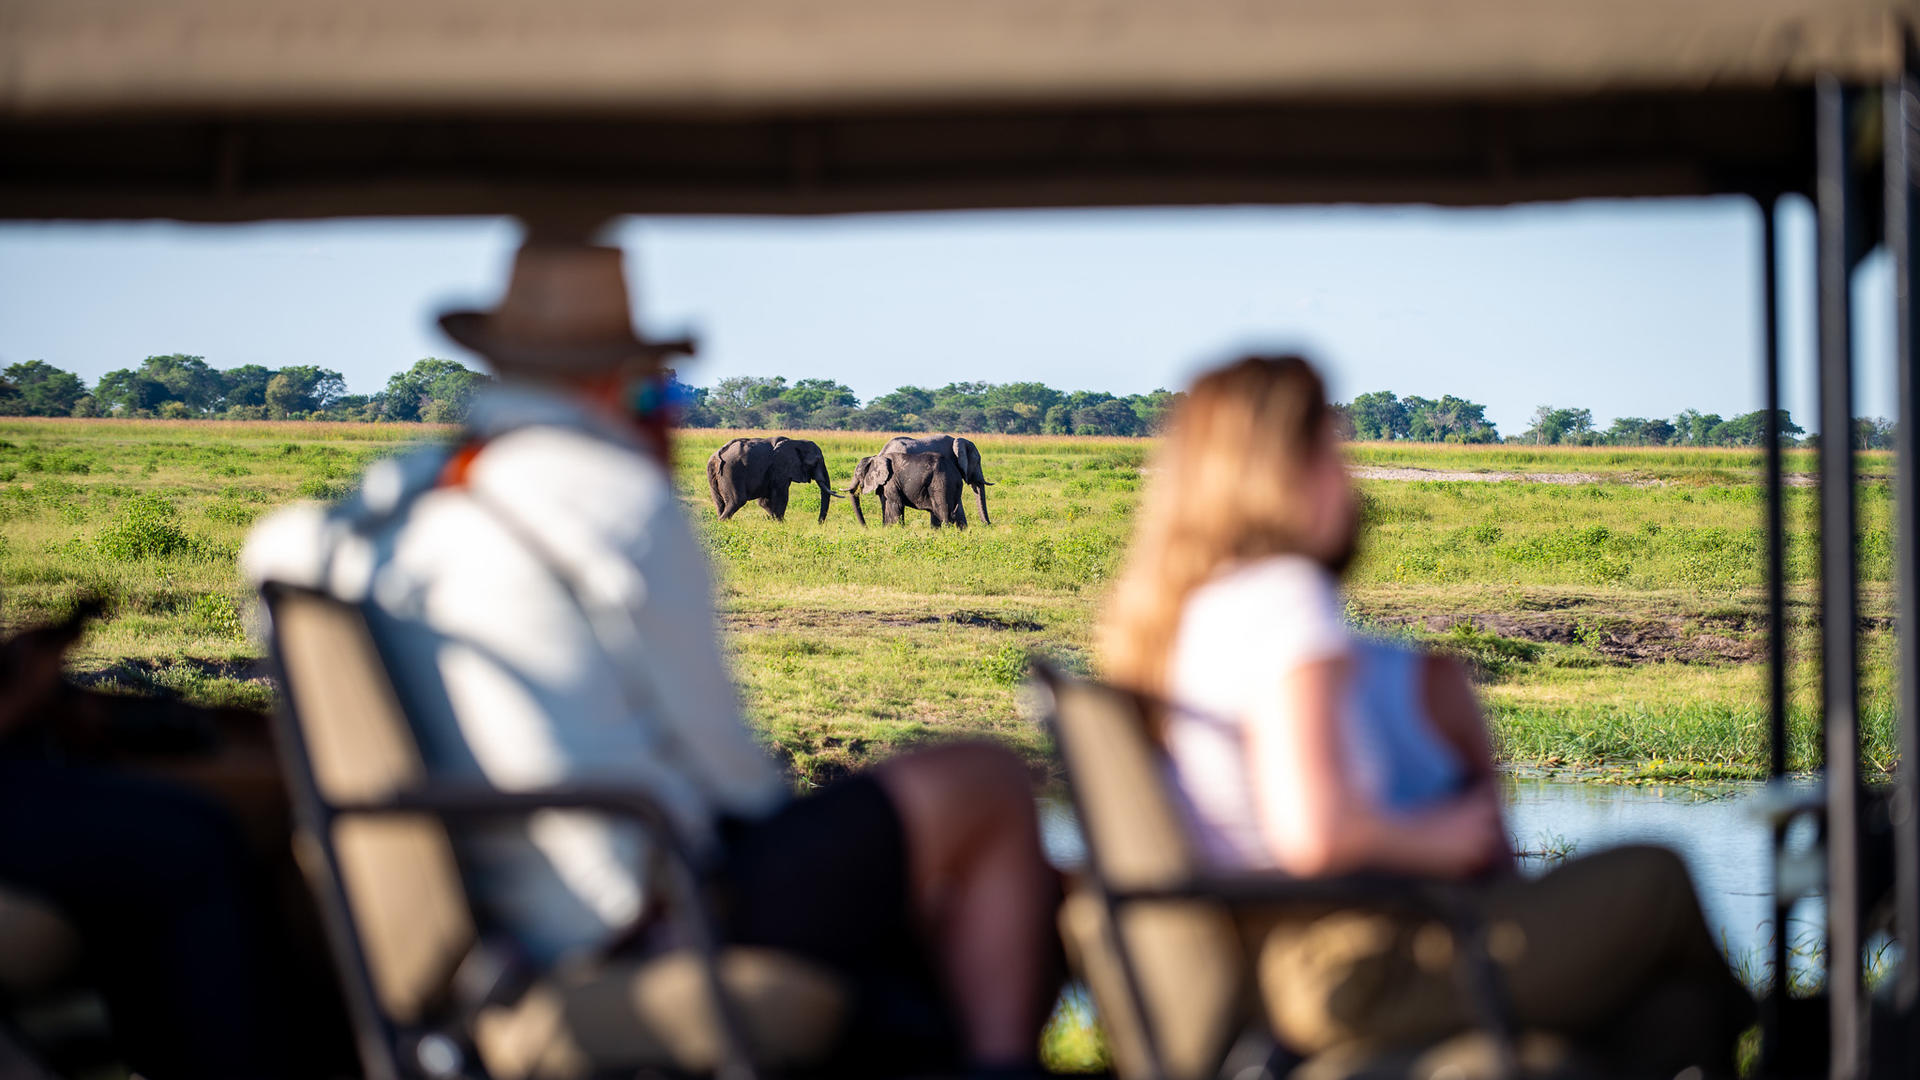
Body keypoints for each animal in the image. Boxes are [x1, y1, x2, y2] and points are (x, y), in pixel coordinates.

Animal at [706, 436, 842, 522]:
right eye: (817, 461)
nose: (819, 523)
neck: (796, 442)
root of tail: (718, 454)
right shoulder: (780, 469)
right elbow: (781, 497)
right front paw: (782, 523)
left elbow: (764, 501)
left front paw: (776, 521)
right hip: (731, 471)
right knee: (737, 501)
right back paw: (722, 522)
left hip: (713, 474)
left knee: (720, 503)